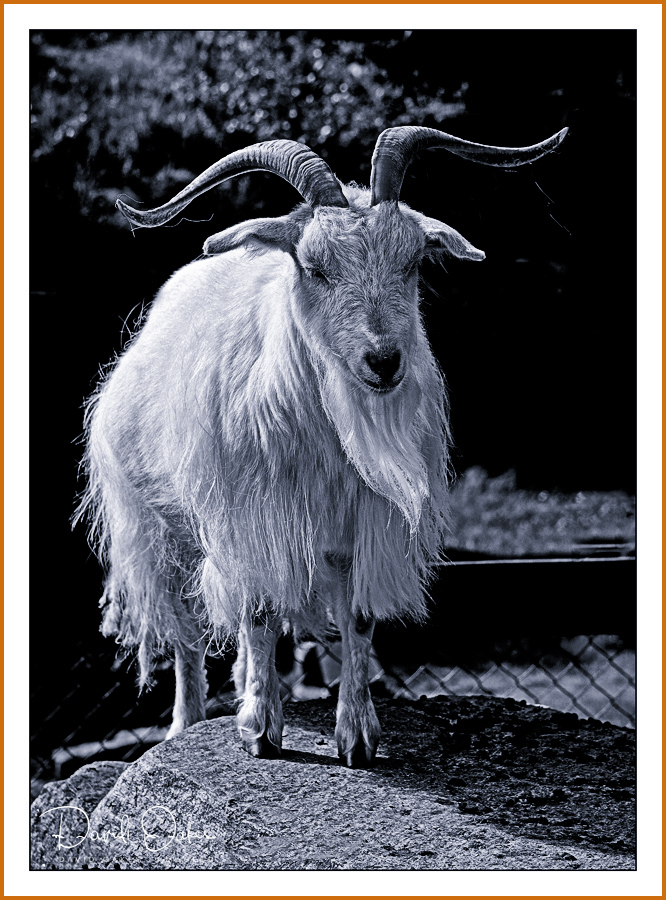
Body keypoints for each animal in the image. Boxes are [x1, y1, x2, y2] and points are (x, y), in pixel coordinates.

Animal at [76, 125, 567, 767]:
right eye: (314, 266)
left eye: (413, 261)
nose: (383, 361)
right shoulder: (248, 519)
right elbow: (257, 610)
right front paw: (260, 730)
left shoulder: (362, 523)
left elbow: (356, 619)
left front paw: (356, 737)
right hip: (156, 529)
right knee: (185, 634)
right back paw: (186, 725)